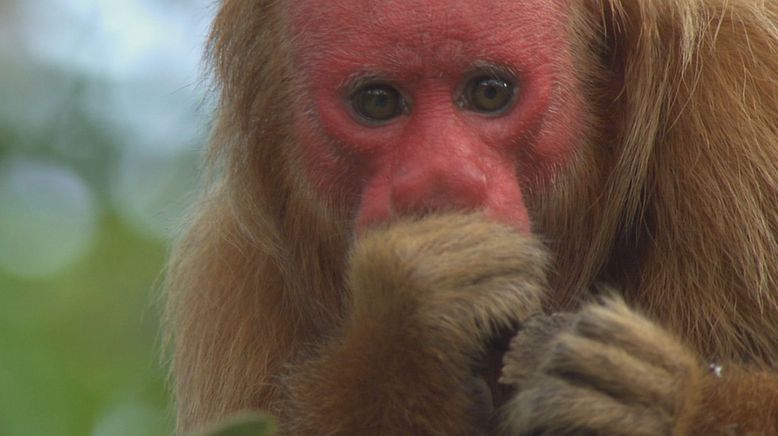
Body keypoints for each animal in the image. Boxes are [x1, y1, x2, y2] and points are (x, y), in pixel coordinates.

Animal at [167, 0, 776, 434]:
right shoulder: (233, 287)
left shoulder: (744, 103)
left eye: (489, 92)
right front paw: (403, 332)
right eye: (378, 102)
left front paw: (670, 404)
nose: (441, 179)